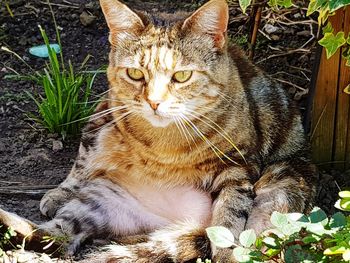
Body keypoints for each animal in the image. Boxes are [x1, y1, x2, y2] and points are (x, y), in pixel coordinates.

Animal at [0, 0, 318, 262]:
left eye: (182, 76)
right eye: (135, 74)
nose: (154, 101)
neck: (166, 144)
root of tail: (187, 224)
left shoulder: (238, 165)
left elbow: (230, 215)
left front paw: (226, 252)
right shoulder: (101, 117)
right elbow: (81, 162)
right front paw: (60, 192)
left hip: (282, 184)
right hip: (99, 200)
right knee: (55, 237)